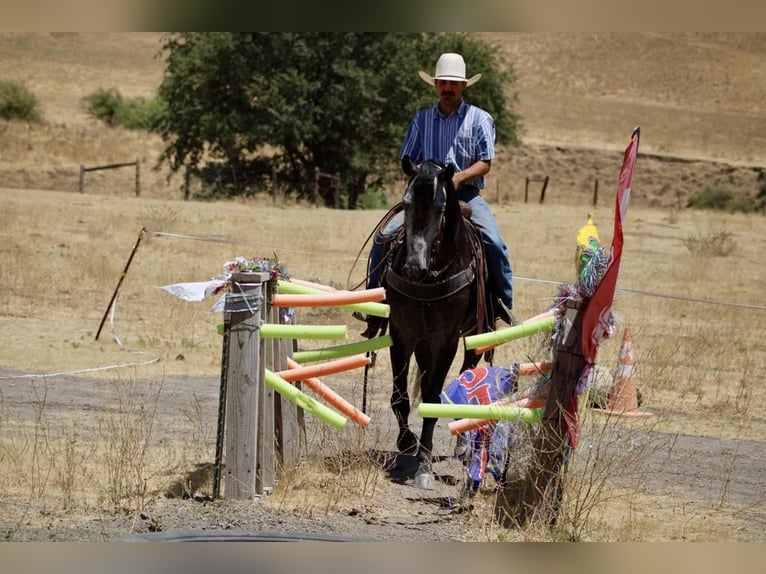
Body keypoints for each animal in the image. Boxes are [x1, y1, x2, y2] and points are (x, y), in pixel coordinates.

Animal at [379, 156, 494, 489]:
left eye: (441, 209)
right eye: (405, 203)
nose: (413, 268)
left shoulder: (447, 340)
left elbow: (432, 396)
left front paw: (425, 466)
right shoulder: (402, 334)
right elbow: (400, 396)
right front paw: (407, 443)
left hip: (475, 337)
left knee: (468, 377)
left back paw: (463, 445)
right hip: (423, 343)